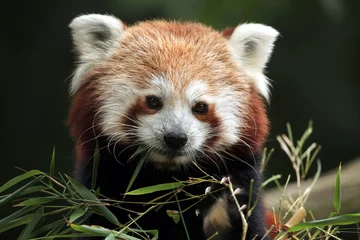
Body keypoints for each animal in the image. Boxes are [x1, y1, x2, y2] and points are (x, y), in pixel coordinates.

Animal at [68, 14, 278, 240]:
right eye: (153, 101)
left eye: (200, 107)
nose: (176, 138)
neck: (168, 179)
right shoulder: (101, 181)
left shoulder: (245, 175)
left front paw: (225, 206)